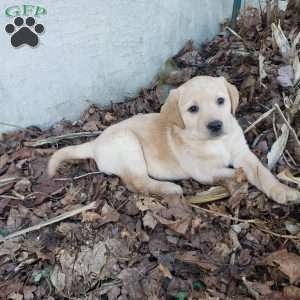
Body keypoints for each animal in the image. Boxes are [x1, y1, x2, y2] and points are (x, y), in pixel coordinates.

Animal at [48, 76, 298, 205]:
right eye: (193, 109)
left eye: (220, 101)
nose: (216, 125)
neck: (216, 143)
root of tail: (96, 143)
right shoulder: (202, 171)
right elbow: (229, 172)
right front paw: (237, 176)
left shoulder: (242, 153)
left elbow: (261, 172)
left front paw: (283, 191)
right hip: (128, 144)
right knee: (137, 182)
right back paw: (170, 188)